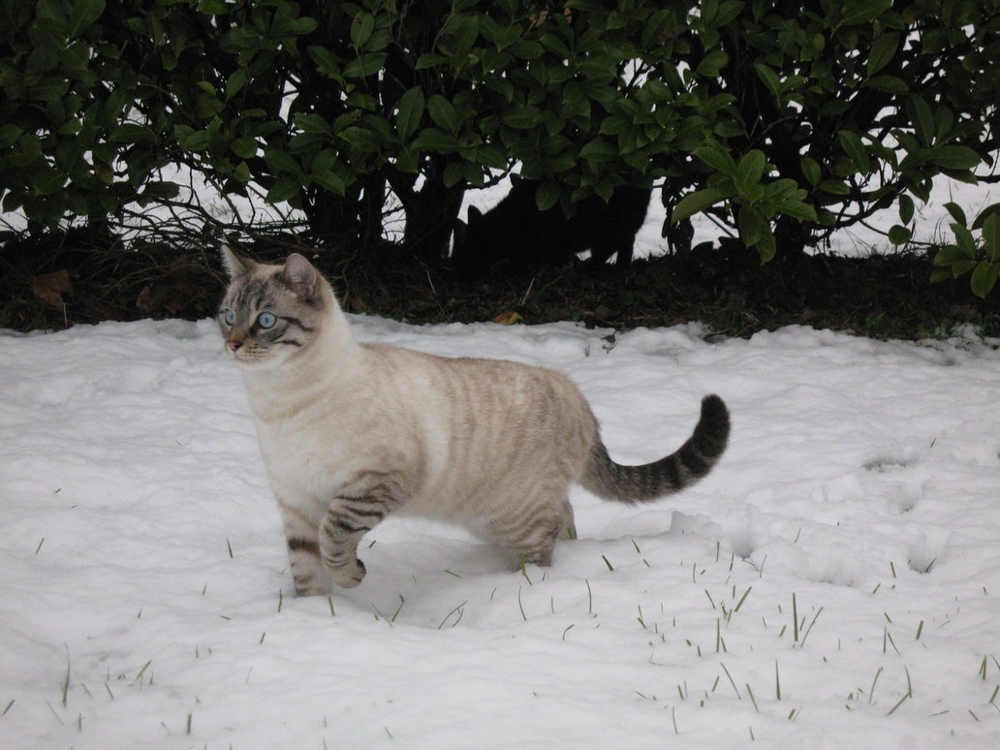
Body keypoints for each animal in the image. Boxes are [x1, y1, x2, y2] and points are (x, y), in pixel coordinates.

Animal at [219, 250, 732, 596]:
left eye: (265, 321)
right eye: (227, 315)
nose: (232, 344)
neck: (277, 403)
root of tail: (575, 392)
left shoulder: (370, 486)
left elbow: (334, 539)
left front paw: (349, 582)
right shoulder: (295, 499)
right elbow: (305, 566)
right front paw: (316, 620)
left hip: (510, 515)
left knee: (545, 542)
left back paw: (520, 588)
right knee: (566, 515)